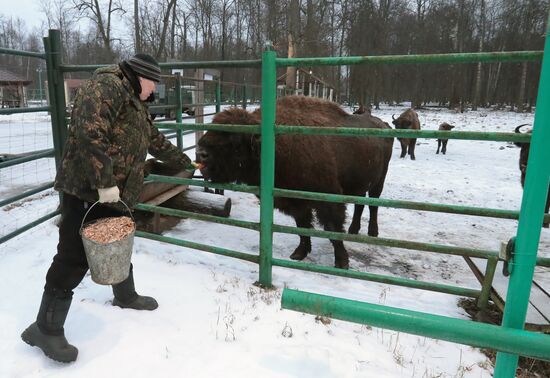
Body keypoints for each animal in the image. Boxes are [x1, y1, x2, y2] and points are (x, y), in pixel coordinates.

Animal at [196, 96, 394, 270]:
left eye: (235, 140)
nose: (201, 153)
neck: (276, 145)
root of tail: (383, 125)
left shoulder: (328, 201)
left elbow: (332, 229)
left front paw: (342, 262)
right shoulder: (296, 202)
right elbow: (302, 227)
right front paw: (299, 254)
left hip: (379, 182)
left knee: (373, 205)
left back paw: (372, 232)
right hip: (361, 184)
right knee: (360, 205)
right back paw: (353, 230)